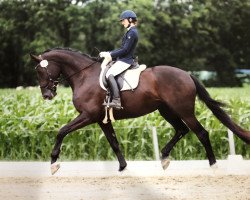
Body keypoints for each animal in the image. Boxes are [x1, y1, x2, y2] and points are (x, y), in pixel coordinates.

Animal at [29, 47, 250, 174]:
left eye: (40, 71)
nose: (47, 95)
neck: (84, 75)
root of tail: (187, 74)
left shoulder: (88, 116)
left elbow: (61, 131)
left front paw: (53, 163)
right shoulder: (101, 119)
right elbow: (114, 143)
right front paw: (123, 167)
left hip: (184, 111)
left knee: (201, 133)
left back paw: (213, 166)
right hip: (166, 111)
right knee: (182, 130)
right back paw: (164, 157)